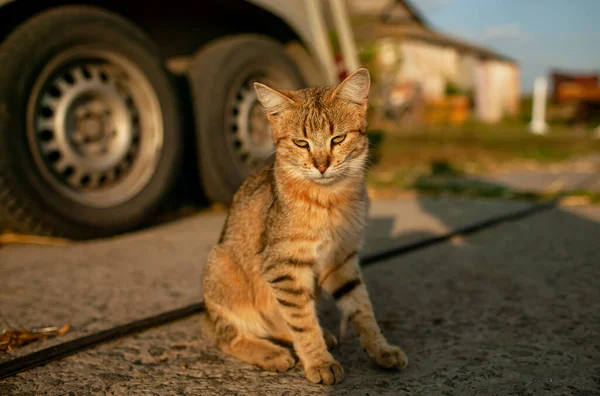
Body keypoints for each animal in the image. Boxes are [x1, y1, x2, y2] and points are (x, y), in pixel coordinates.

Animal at [202, 68, 408, 384]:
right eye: (301, 143)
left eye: (338, 139)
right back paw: (273, 354)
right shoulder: (283, 266)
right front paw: (319, 361)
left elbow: (362, 309)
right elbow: (301, 321)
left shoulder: (341, 260)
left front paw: (380, 348)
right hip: (221, 264)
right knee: (229, 336)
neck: (329, 199)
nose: (322, 166)